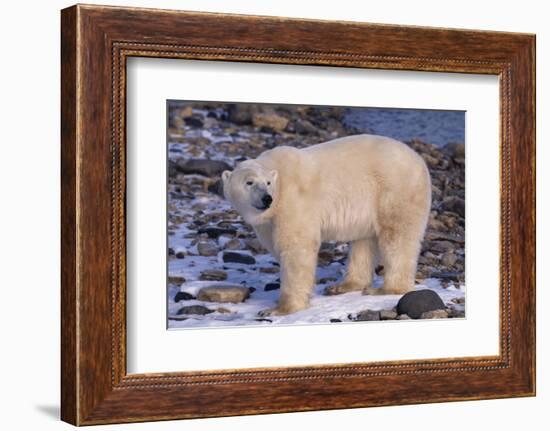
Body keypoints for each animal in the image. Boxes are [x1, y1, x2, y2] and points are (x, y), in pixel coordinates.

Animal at [222, 135, 434, 318]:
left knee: (396, 236)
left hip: (394, 190)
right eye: (249, 182)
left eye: (267, 183)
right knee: (363, 242)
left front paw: (279, 309)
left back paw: (385, 289)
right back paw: (343, 285)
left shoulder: (293, 201)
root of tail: (419, 160)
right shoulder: (268, 220)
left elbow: (296, 247)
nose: (267, 198)